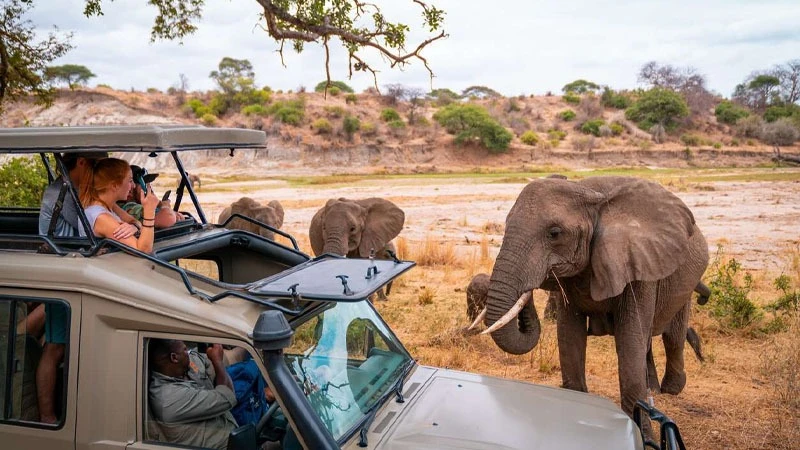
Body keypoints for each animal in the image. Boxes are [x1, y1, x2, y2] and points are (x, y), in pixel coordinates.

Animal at [478, 176, 708, 414]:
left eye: (554, 233)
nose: (528, 289)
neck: (589, 192)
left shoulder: (639, 265)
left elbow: (629, 343)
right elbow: (570, 338)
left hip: (684, 282)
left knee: (672, 336)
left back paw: (671, 389)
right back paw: (653, 388)